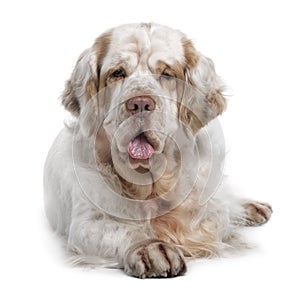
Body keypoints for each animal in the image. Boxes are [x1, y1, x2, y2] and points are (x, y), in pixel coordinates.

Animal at [44, 22, 272, 276]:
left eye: (166, 73)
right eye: (117, 73)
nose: (140, 103)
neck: (150, 183)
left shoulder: (203, 215)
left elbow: (213, 216)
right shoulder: (86, 224)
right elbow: (127, 230)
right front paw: (152, 249)